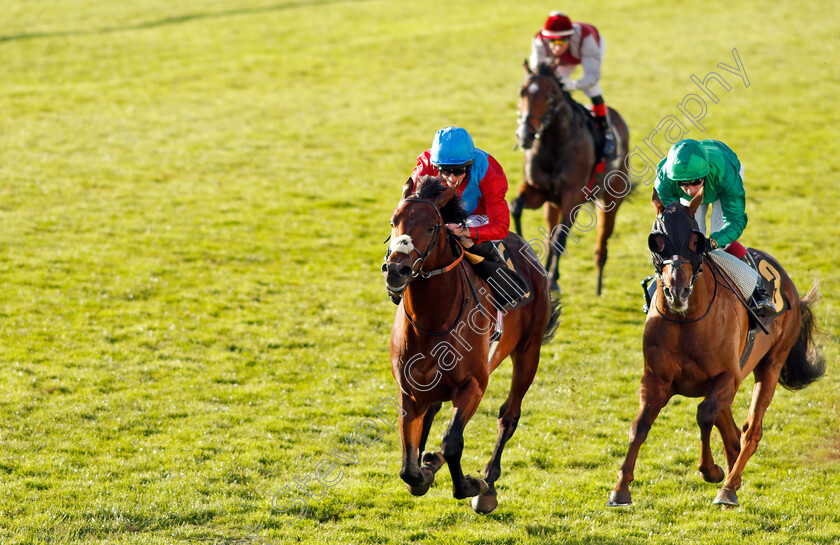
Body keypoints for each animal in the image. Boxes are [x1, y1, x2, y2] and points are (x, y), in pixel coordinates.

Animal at [384, 176, 560, 512]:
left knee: (509, 415)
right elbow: (408, 466)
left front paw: (471, 485)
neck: (434, 320)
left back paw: (488, 483)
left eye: (432, 226)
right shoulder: (409, 390)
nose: (396, 270)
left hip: (528, 351)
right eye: (394, 221)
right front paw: (424, 470)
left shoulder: (474, 385)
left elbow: (452, 441)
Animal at [506, 60, 632, 294]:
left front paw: (553, 279)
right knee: (549, 233)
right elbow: (516, 207)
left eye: (548, 97)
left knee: (601, 242)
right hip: (552, 205)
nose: (525, 135)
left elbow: (560, 238)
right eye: (521, 93)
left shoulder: (572, 196)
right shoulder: (538, 190)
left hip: (610, 201)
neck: (555, 141)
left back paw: (598, 286)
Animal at [608, 191, 824, 506]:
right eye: (657, 240)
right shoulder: (655, 379)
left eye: (695, 240)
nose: (677, 291)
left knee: (750, 431)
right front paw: (620, 488)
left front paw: (710, 471)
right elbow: (639, 426)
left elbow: (704, 415)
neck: (687, 321)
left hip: (770, 365)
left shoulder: (727, 377)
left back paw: (729, 488)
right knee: (733, 434)